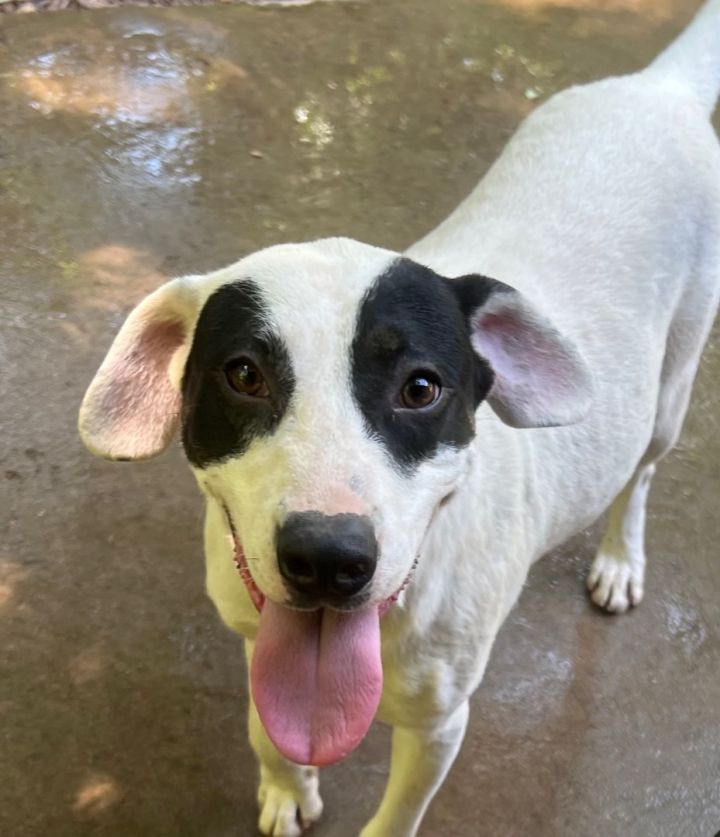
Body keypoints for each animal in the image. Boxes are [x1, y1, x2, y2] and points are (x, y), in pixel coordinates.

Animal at [79, 3, 720, 832]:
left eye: (421, 387)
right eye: (244, 374)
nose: (328, 558)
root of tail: (654, 88)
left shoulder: (438, 724)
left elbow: (396, 814)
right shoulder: (260, 635)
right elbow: (266, 722)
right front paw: (286, 785)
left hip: (671, 387)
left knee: (640, 475)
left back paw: (619, 558)